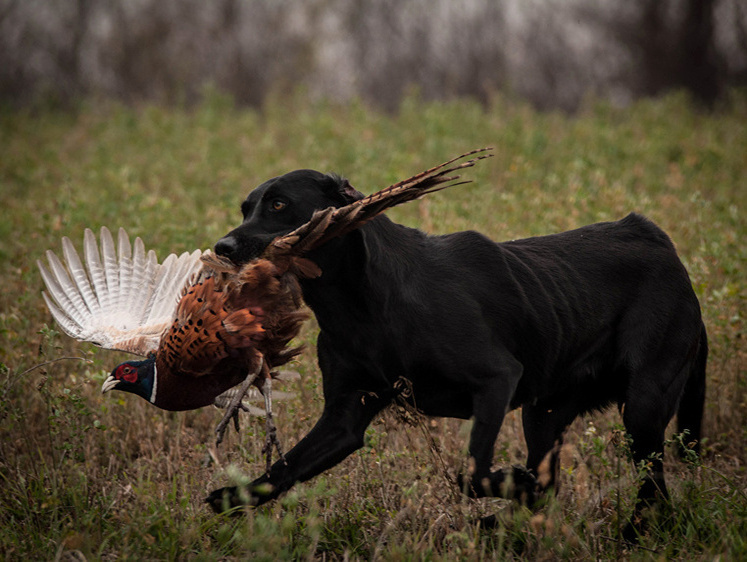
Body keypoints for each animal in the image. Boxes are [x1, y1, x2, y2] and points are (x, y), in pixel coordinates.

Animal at [207, 170, 712, 532]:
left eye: (279, 204)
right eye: (246, 208)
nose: (223, 247)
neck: (358, 303)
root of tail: (659, 242)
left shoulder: (496, 380)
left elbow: (470, 473)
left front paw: (511, 483)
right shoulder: (343, 419)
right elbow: (282, 470)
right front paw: (228, 496)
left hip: (643, 406)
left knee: (653, 488)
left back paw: (631, 533)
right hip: (544, 413)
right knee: (553, 485)